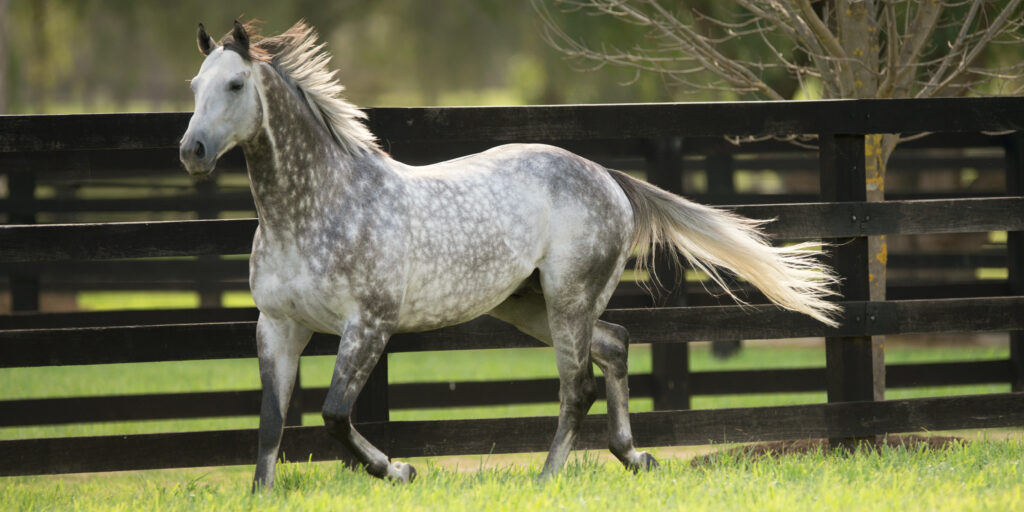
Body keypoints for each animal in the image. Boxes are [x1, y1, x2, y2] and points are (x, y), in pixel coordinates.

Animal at [179, 20, 840, 490]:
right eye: (194, 86)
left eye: (235, 85)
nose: (192, 151)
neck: (319, 208)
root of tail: (606, 176)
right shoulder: (277, 327)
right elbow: (271, 422)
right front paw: (264, 494)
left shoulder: (369, 324)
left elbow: (336, 414)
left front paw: (401, 470)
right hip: (531, 305)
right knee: (616, 345)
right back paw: (635, 458)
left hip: (567, 299)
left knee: (578, 386)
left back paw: (548, 478)